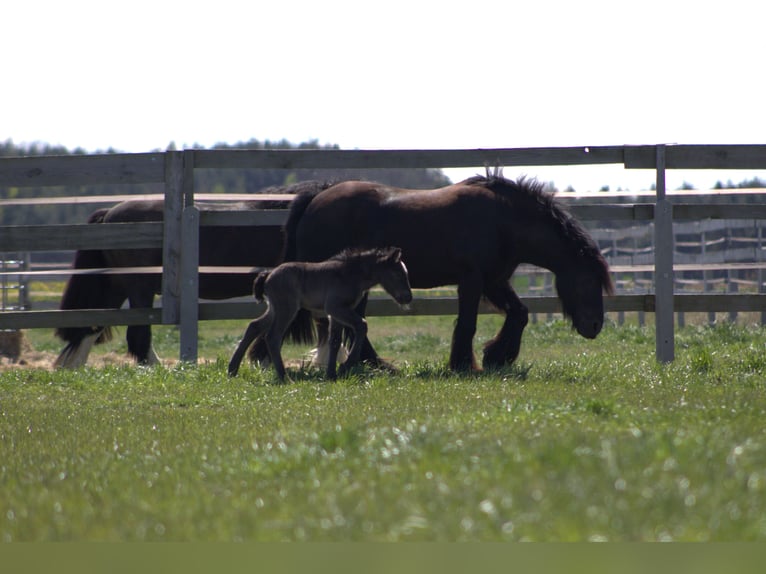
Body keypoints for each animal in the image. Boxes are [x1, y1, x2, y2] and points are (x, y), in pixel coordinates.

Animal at [54, 181, 330, 368]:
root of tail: (110, 213)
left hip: (117, 287)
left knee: (92, 323)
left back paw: (72, 366)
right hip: (138, 289)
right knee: (136, 334)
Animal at [228, 246, 412, 382]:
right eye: (398, 274)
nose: (408, 297)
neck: (350, 274)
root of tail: (268, 275)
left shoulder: (335, 313)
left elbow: (335, 341)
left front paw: (332, 374)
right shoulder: (335, 308)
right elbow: (362, 325)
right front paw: (346, 366)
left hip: (274, 308)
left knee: (254, 326)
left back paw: (232, 370)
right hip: (287, 309)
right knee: (272, 336)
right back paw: (284, 378)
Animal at [279, 174, 614, 372]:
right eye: (587, 280)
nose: (595, 326)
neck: (504, 220)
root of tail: (315, 198)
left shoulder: (494, 281)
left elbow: (520, 313)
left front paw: (497, 356)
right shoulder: (472, 281)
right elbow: (467, 324)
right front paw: (464, 364)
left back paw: (375, 365)